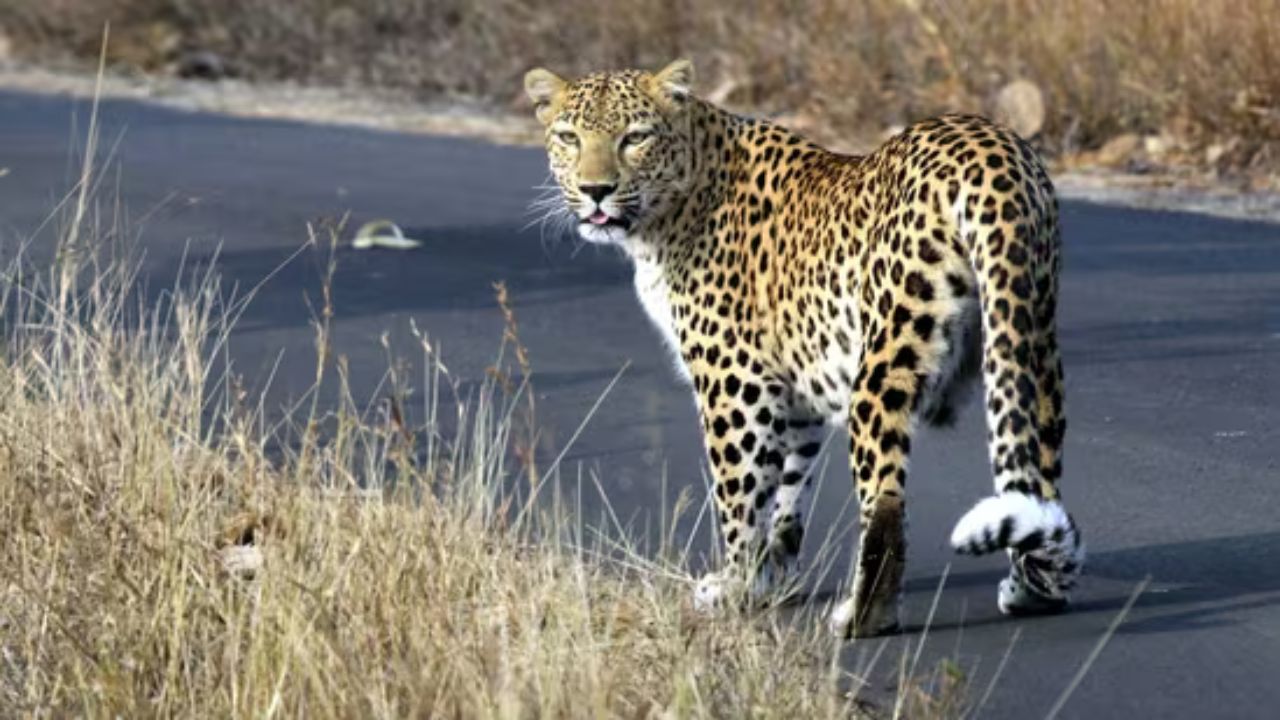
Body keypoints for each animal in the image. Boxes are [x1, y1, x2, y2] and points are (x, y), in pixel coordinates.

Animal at [524, 59, 1084, 638]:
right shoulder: (794, 389)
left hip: (884, 364)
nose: (595, 190)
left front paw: (736, 585)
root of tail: (991, 149)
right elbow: (789, 488)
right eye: (569, 137)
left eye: (635, 138)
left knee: (885, 500)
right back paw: (1034, 590)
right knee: (1033, 475)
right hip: (1028, 338)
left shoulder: (735, 380)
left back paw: (863, 616)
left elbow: (739, 491)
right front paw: (772, 579)